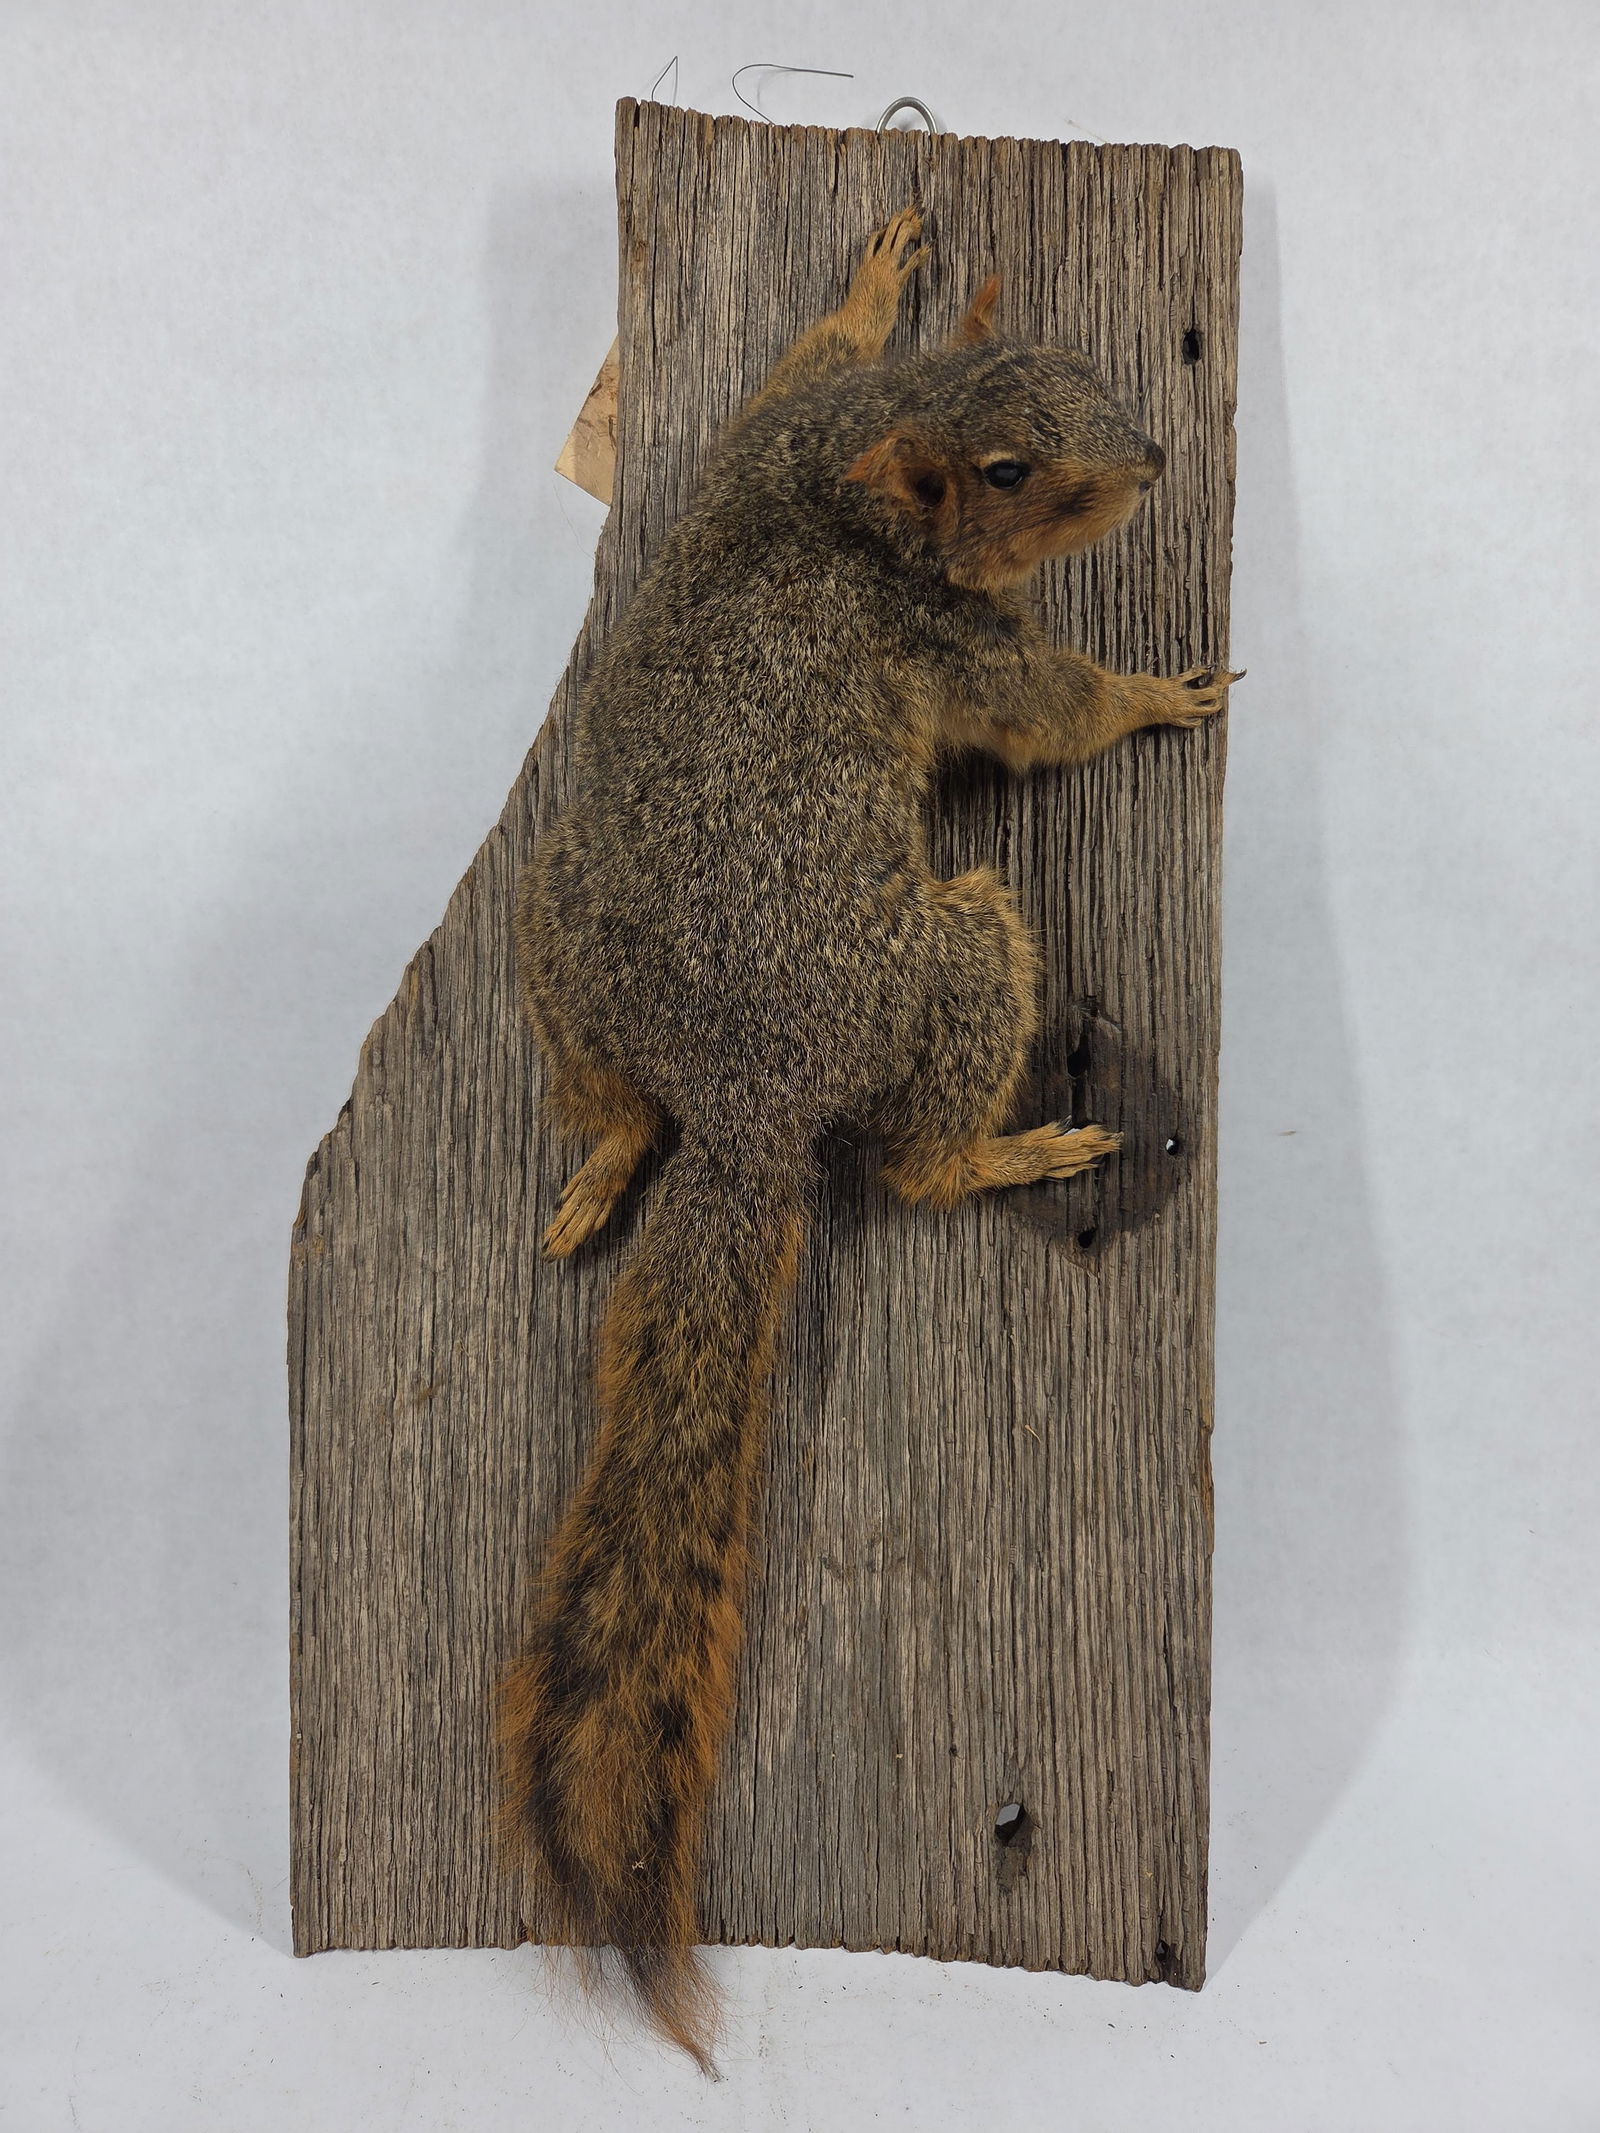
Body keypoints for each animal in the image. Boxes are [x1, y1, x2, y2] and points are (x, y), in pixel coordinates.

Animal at [499, 206, 1240, 2069]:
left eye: (1079, 365)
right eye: (1014, 470)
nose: (1157, 455)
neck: (852, 487)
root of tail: (748, 1098)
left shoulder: (769, 422)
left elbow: (803, 349)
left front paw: (875, 275)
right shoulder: (957, 645)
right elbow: (1055, 707)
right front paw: (1156, 692)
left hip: (564, 930)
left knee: (618, 1095)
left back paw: (606, 1162)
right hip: (958, 956)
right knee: (909, 1163)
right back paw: (1009, 1154)